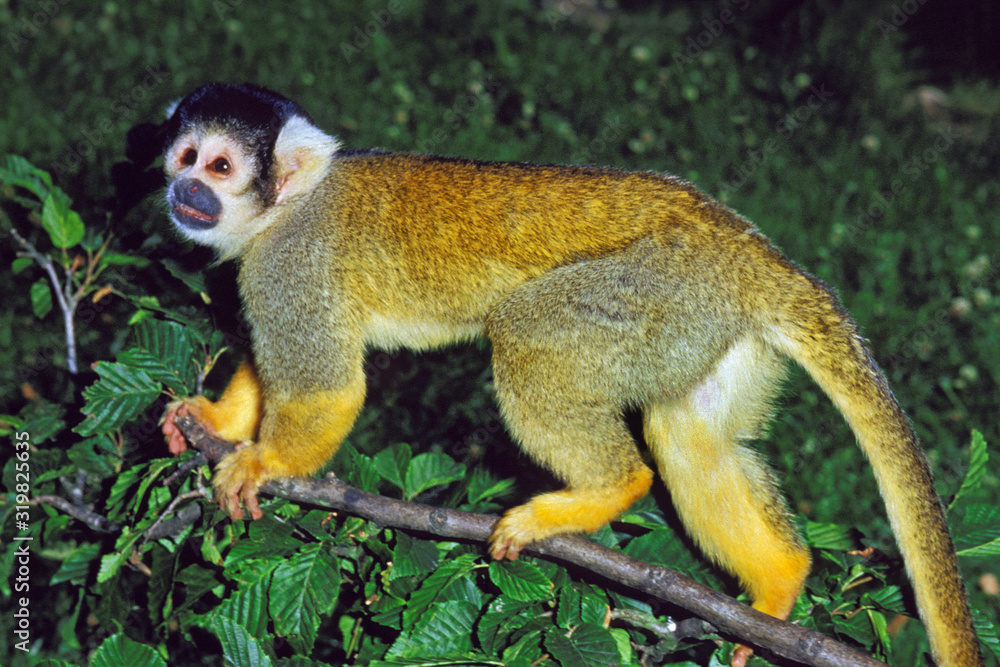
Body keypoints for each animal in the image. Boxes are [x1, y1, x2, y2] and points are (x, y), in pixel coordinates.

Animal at [156, 82, 981, 667]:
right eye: (184, 157)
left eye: (222, 168)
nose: (183, 192)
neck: (280, 214)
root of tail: (751, 251)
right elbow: (269, 365)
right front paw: (215, 419)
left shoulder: (291, 264)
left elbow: (325, 386)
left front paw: (264, 462)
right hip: (707, 325)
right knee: (689, 429)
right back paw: (779, 584)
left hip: (651, 289)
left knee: (525, 336)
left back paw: (608, 489)